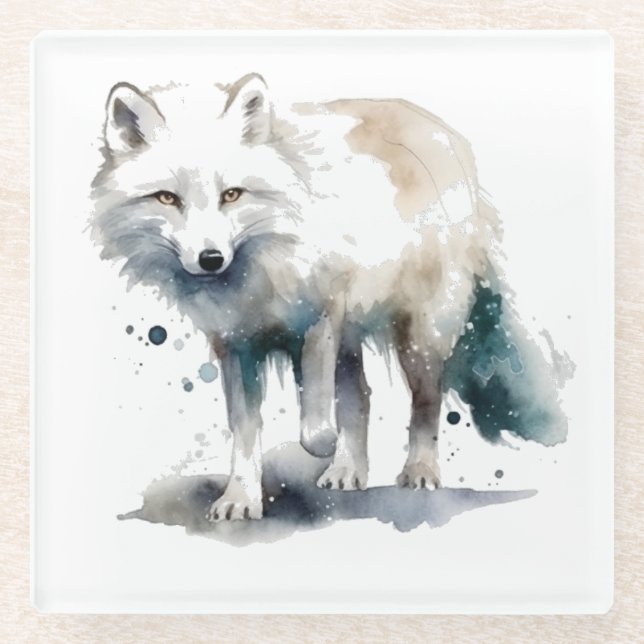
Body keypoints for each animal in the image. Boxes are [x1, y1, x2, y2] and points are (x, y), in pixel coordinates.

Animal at [91, 73, 501, 522]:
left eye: (232, 195)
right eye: (168, 198)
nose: (211, 259)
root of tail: (437, 126)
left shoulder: (321, 317)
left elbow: (315, 425)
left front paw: (321, 445)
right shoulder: (236, 344)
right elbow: (246, 431)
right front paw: (241, 497)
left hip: (419, 335)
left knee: (426, 399)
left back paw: (419, 470)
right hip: (354, 343)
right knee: (361, 397)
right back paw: (348, 469)